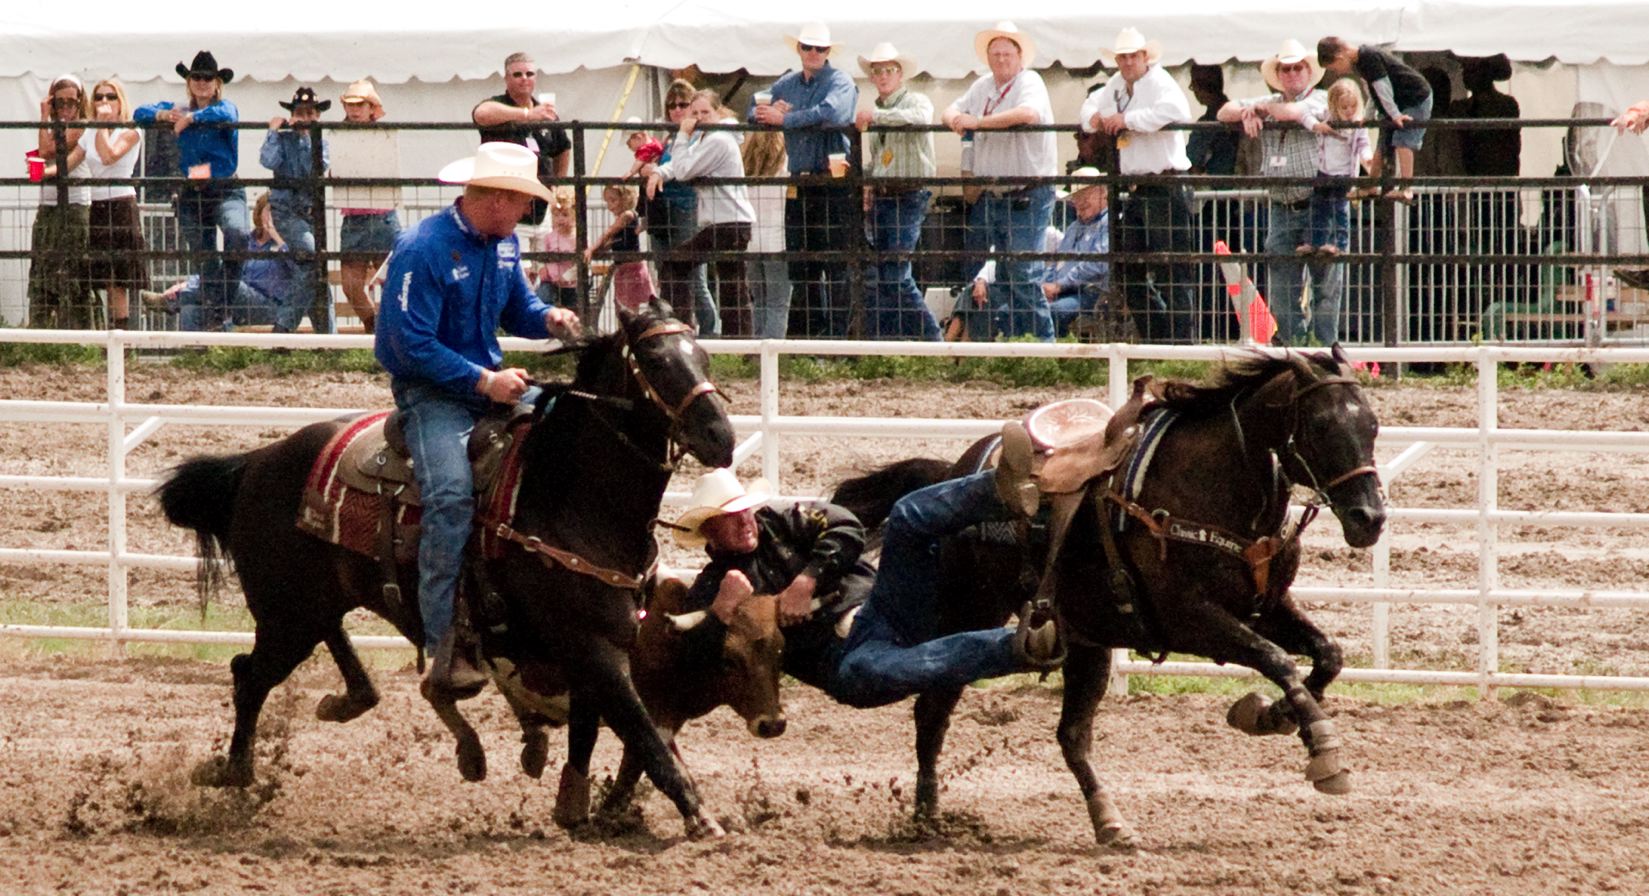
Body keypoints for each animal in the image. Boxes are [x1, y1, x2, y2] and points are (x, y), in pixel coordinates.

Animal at [155, 303, 735, 841]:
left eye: (704, 356)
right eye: (657, 361)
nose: (721, 436)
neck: (567, 495)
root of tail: (255, 463)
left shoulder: (602, 643)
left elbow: (594, 730)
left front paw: (575, 804)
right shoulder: (592, 645)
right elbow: (643, 732)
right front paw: (700, 816)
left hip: (313, 606)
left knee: (327, 648)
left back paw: (351, 702)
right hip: (285, 616)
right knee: (248, 676)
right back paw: (234, 774)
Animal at [831, 348, 1385, 851]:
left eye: (1374, 426)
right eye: (1321, 426)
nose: (1370, 518)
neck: (1214, 487)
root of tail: (954, 469)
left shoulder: (1267, 606)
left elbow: (1327, 656)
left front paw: (1271, 716)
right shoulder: (1191, 619)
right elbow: (1278, 661)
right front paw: (1324, 751)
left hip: (1087, 640)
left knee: (1072, 737)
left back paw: (1110, 823)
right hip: (969, 607)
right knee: (933, 708)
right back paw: (927, 819)